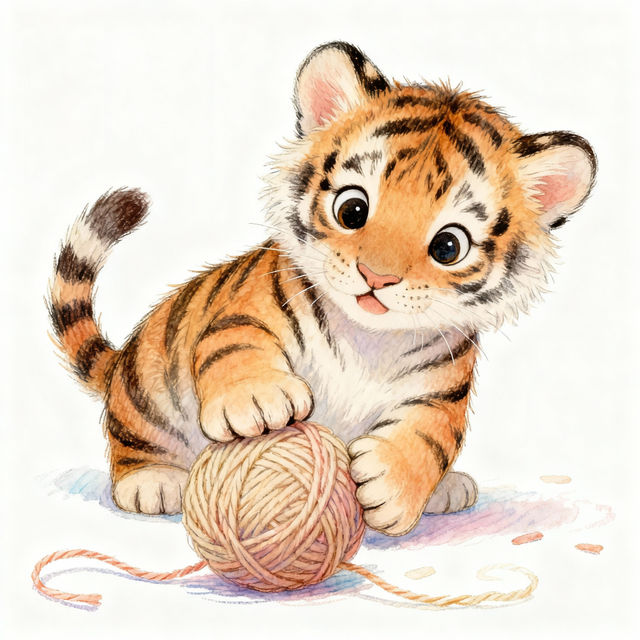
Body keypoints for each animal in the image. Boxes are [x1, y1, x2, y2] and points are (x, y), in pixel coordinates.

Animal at [48, 42, 596, 536]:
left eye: (448, 246)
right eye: (353, 209)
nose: (377, 276)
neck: (369, 340)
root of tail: (120, 361)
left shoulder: (442, 388)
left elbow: (432, 435)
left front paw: (392, 485)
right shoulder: (245, 310)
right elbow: (234, 344)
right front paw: (258, 400)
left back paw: (447, 489)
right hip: (145, 391)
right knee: (130, 440)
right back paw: (153, 482)